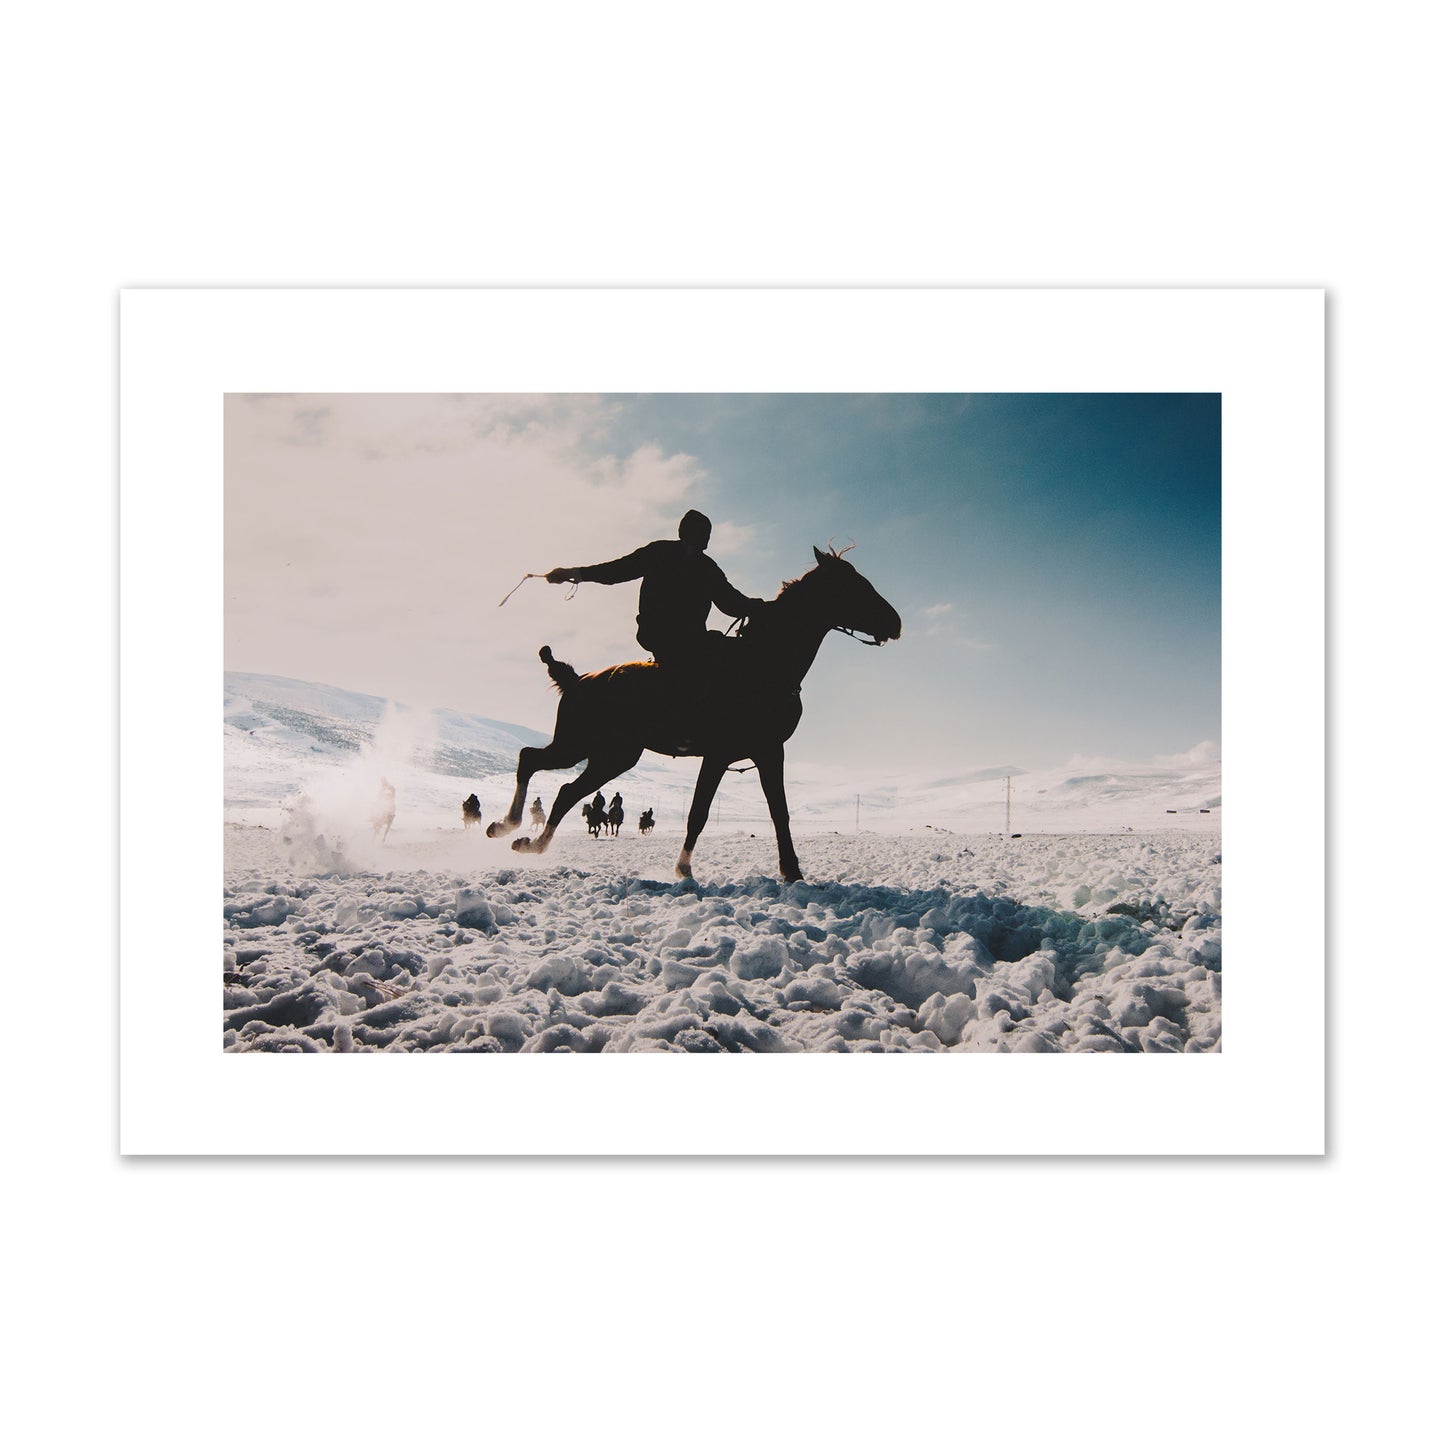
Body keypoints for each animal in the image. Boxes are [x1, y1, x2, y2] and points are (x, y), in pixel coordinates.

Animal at [487, 546, 901, 881]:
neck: (762, 664)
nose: (895, 622)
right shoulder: (720, 754)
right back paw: (509, 825)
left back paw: (527, 841)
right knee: (534, 763)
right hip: (584, 746)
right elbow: (699, 812)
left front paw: (791, 871)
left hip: (609, 755)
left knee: (563, 790)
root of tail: (577, 680)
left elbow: (778, 812)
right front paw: (683, 867)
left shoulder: (769, 751)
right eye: (854, 586)